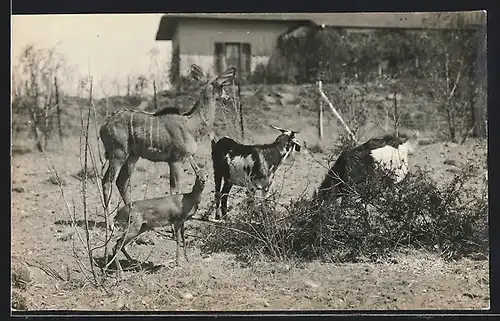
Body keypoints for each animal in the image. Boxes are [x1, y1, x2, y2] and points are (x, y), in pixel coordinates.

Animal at [99, 64, 236, 230]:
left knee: (122, 181)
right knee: (107, 182)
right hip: (118, 153)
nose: (228, 96)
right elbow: (175, 190)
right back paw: (110, 224)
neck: (191, 124)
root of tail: (103, 127)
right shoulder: (176, 160)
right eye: (222, 85)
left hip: (132, 155)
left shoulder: (175, 161)